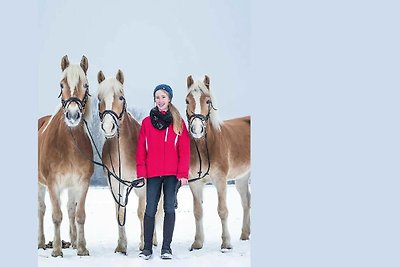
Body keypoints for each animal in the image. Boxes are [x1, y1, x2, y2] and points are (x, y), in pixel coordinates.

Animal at [37, 55, 94, 258]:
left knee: (70, 210)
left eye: (85, 85)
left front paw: (82, 248)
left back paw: (74, 242)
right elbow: (56, 216)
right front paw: (56, 250)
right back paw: (41, 242)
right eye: (61, 84)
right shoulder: (53, 183)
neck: (69, 144)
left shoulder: (82, 182)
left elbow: (79, 215)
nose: (73, 115)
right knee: (42, 210)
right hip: (41, 185)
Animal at [96, 70, 159, 254]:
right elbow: (120, 212)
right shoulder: (116, 184)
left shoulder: (142, 184)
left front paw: (143, 243)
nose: (108, 127)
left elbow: (142, 212)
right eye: (99, 98)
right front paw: (121, 246)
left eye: (121, 97)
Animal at [184, 74, 250, 252]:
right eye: (187, 100)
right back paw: (245, 234)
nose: (197, 130)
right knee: (246, 202)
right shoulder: (195, 183)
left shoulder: (220, 180)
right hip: (242, 178)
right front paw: (198, 242)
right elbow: (197, 211)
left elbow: (222, 210)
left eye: (208, 101)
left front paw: (226, 243)